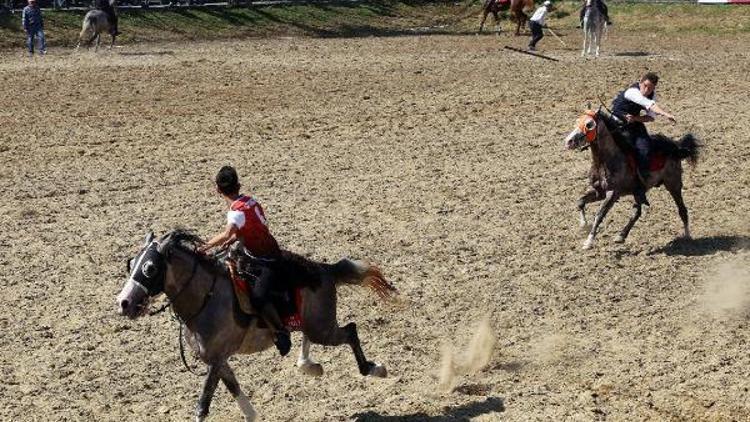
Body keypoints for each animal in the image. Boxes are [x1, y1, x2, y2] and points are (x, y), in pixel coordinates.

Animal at [116, 231, 400, 422]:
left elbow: (203, 404)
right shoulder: (220, 361)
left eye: (150, 268)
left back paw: (374, 368)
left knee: (350, 330)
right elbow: (234, 390)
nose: (124, 303)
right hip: (315, 325)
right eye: (131, 264)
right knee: (311, 335)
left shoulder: (216, 360)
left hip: (323, 329)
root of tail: (325, 270)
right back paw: (308, 365)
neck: (206, 298)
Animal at [568, 108, 704, 251]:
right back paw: (621, 236)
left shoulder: (612, 193)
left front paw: (588, 241)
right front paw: (584, 225)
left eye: (589, 124)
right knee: (637, 212)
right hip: (638, 192)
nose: (569, 141)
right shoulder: (599, 192)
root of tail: (676, 146)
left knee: (682, 209)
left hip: (673, 184)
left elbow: (599, 215)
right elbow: (580, 202)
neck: (607, 161)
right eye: (577, 121)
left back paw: (688, 236)